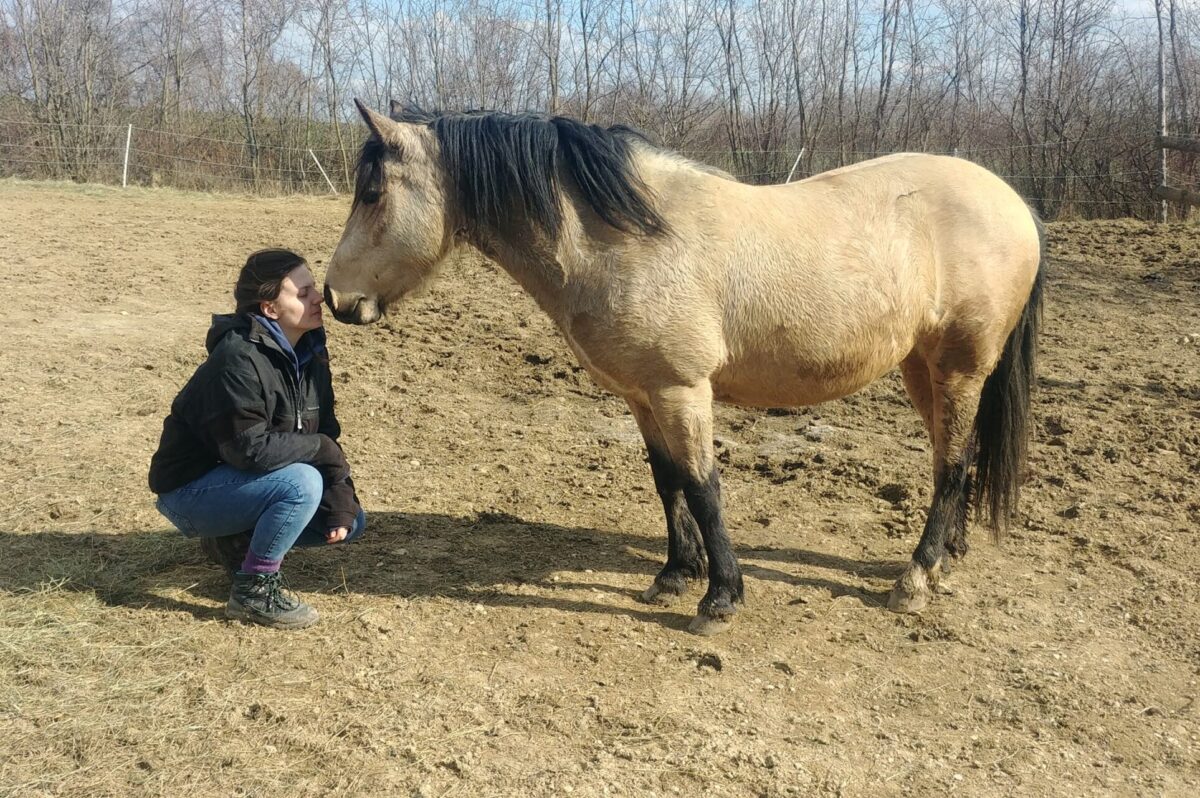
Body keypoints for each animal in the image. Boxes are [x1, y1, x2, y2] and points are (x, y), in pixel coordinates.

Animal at [326, 101, 1041, 633]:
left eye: (373, 193)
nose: (334, 298)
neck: (623, 239)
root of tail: (1014, 202)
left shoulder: (682, 389)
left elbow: (702, 486)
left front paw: (719, 598)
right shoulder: (642, 395)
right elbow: (666, 479)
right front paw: (674, 574)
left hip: (958, 367)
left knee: (951, 461)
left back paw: (915, 578)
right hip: (922, 367)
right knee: (956, 454)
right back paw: (948, 555)